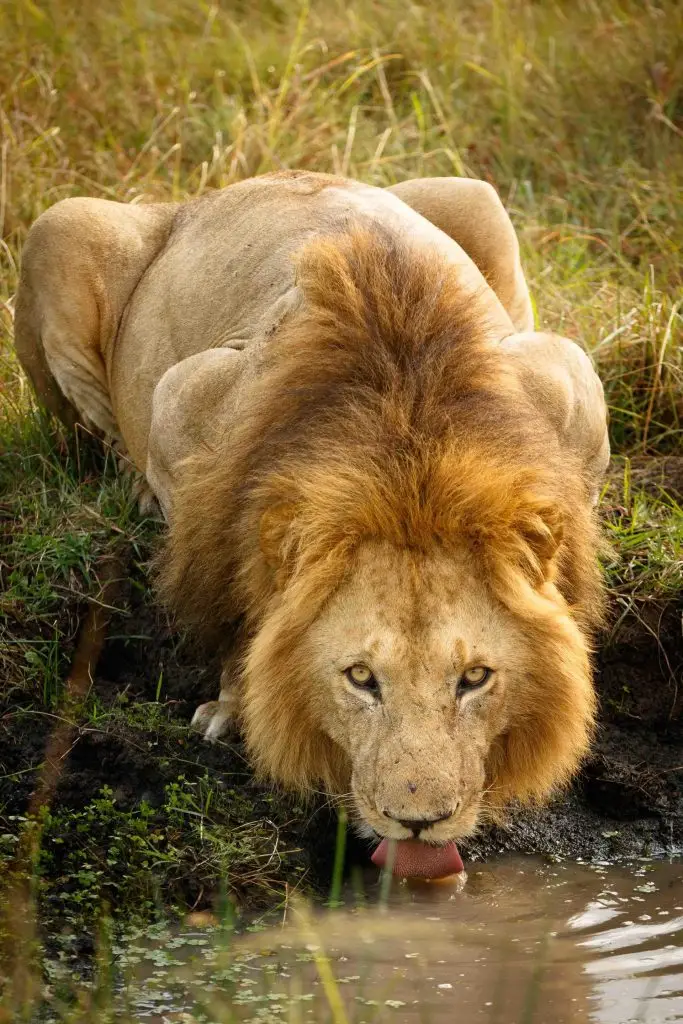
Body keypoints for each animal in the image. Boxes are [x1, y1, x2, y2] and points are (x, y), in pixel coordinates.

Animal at [14, 171, 609, 878]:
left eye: (474, 679)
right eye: (361, 679)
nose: (419, 823)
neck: (412, 456)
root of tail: (198, 199)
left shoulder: (568, 382)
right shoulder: (183, 400)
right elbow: (241, 592)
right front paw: (235, 706)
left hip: (475, 195)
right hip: (61, 226)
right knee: (97, 437)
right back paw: (134, 493)